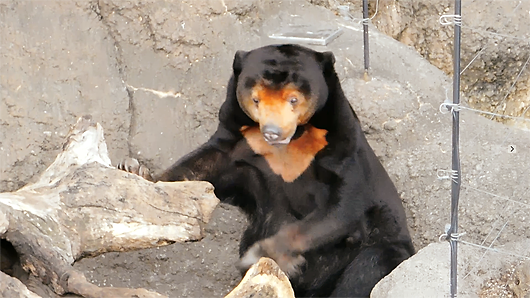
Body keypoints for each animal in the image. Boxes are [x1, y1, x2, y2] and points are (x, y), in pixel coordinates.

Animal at [118, 44, 412, 298]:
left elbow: (342, 204)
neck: (292, 143)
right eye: (256, 99)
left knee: (368, 268)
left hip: (382, 251)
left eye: (294, 98)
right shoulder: (241, 142)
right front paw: (136, 170)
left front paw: (266, 253)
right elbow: (205, 167)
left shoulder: (342, 147)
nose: (272, 132)